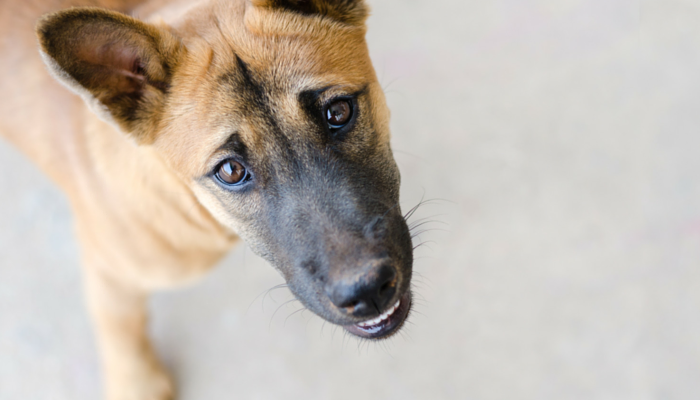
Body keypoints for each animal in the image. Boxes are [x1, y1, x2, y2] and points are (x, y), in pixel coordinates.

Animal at [0, 1, 412, 398]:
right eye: (230, 171)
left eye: (338, 112)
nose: (366, 292)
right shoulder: (108, 269)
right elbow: (120, 327)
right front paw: (136, 383)